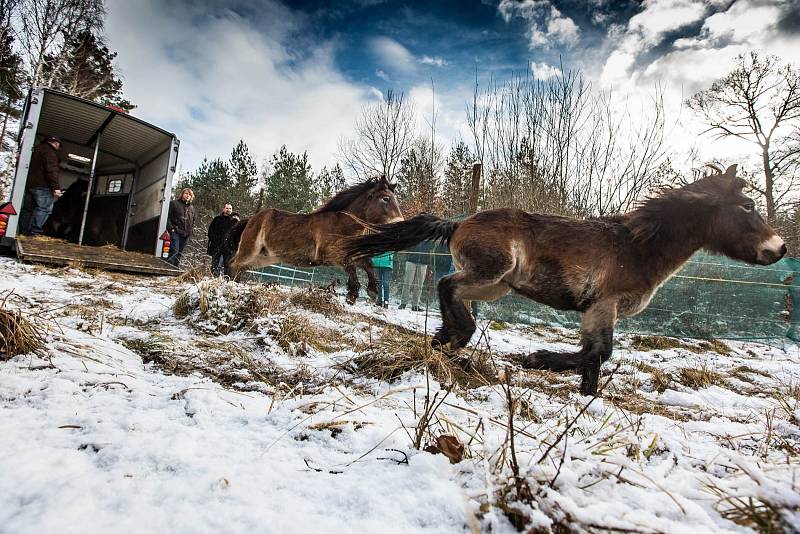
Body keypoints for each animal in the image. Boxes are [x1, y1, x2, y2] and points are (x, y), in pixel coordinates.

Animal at [228, 178, 404, 304]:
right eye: (385, 199)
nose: (399, 223)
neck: (341, 224)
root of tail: (251, 219)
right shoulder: (331, 255)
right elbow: (351, 266)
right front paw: (352, 294)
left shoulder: (352, 252)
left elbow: (368, 264)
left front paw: (372, 290)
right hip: (250, 251)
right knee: (234, 264)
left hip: (264, 257)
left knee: (241, 268)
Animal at [340, 165, 784, 396]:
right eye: (747, 206)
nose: (779, 249)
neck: (638, 245)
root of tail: (460, 222)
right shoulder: (604, 307)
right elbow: (599, 353)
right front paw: (535, 360)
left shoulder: (597, 312)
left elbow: (593, 358)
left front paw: (587, 397)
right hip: (491, 273)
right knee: (448, 286)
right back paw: (456, 338)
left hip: (496, 285)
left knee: (451, 291)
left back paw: (441, 340)